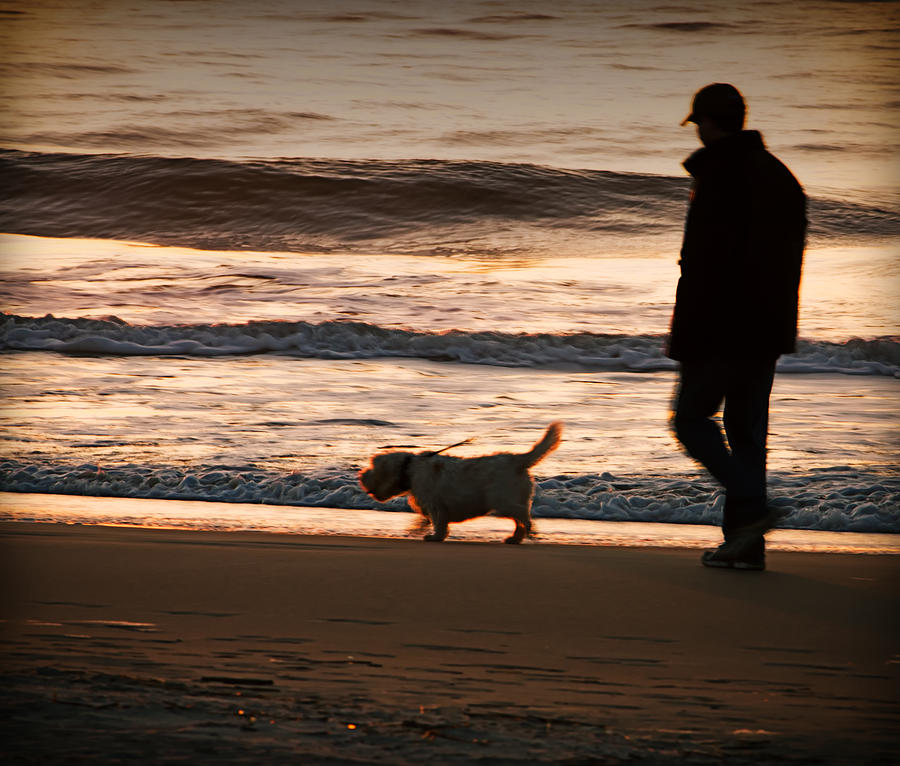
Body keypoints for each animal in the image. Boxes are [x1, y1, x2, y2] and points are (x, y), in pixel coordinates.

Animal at [360, 424, 564, 544]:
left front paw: (435, 537)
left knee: (523, 517)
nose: (361, 477)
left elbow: (439, 522)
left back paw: (529, 532)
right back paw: (515, 539)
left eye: (373, 467)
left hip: (503, 501)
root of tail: (518, 460)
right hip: (512, 499)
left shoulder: (436, 505)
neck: (410, 469)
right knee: (519, 521)